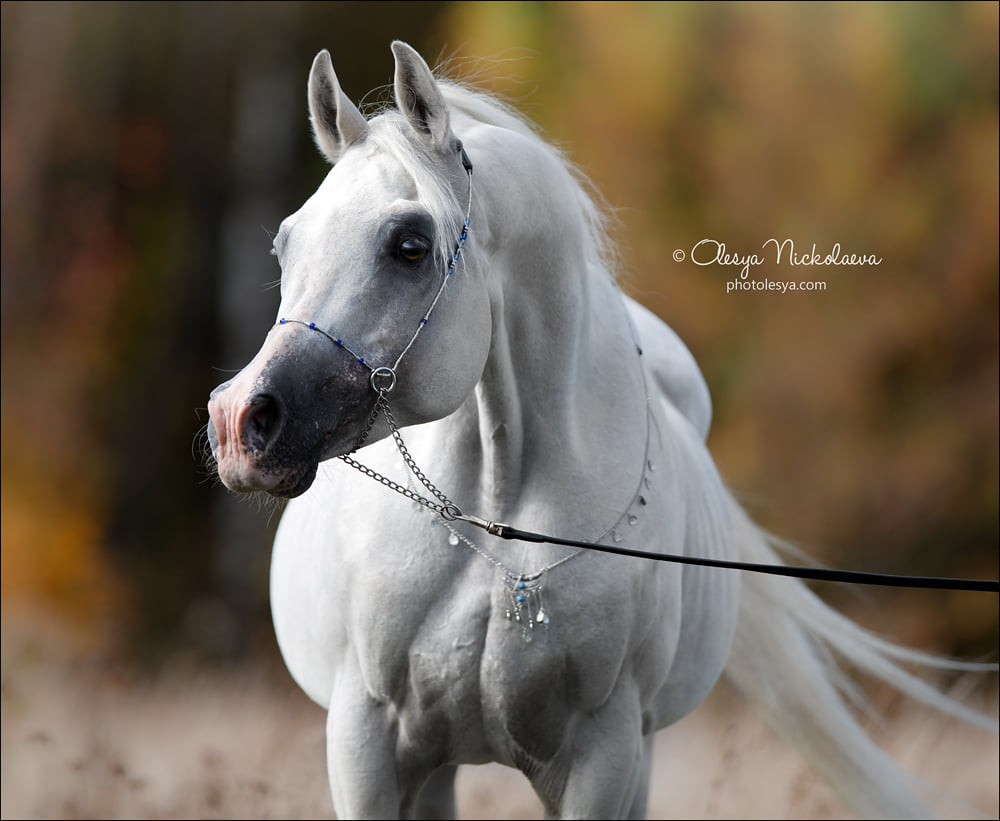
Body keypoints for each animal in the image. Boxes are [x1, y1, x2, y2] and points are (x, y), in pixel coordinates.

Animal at [209, 41, 992, 816]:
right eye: (285, 247)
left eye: (409, 245)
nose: (239, 419)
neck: (497, 517)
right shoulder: (366, 744)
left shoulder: (604, 753)